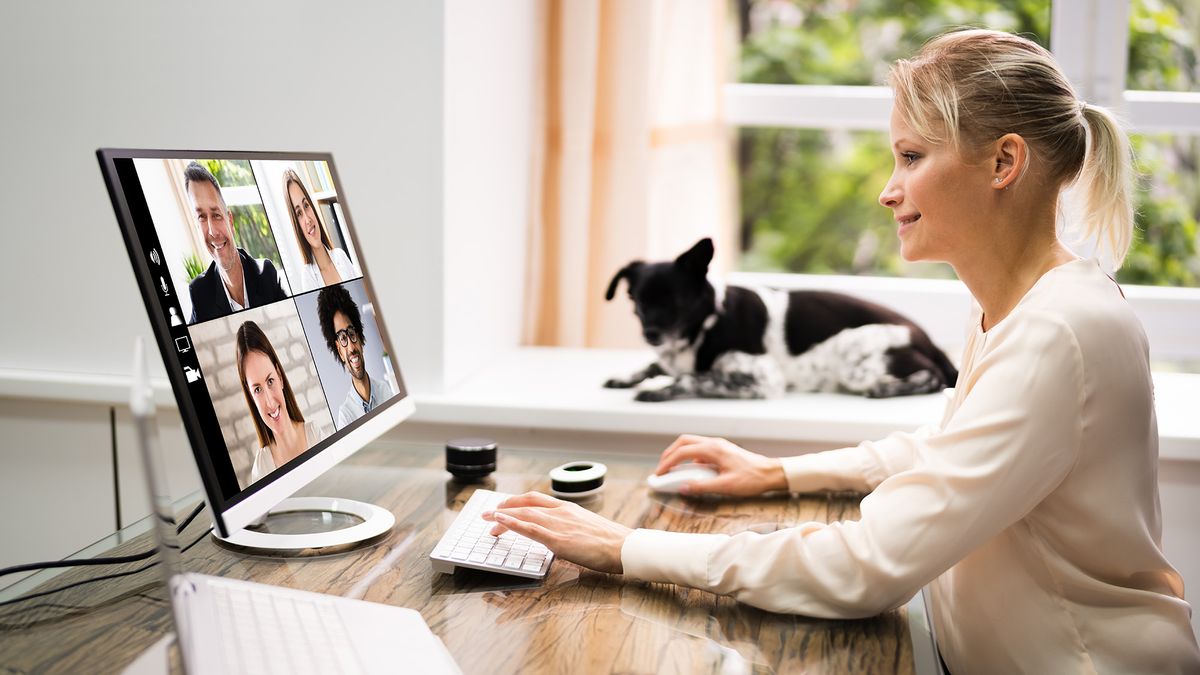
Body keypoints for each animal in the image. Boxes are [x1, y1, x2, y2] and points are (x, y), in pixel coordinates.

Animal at [604, 236, 960, 398]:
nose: (650, 334)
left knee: (933, 377)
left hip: (855, 359)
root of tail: (925, 337)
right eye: (636, 300)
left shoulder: (764, 378)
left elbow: (693, 377)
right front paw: (626, 377)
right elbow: (653, 365)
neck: (705, 326)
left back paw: (887, 388)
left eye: (675, 301)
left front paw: (660, 389)